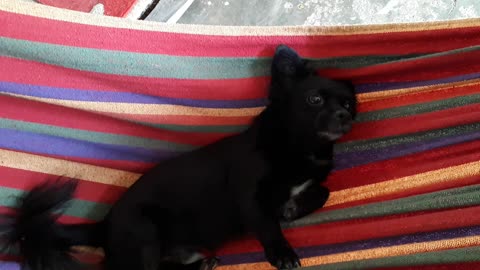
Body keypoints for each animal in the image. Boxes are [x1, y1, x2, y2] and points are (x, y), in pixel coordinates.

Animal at [3, 45, 356, 268]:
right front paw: (282, 253)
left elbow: (323, 191)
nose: (344, 115)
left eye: (349, 103)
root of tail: (104, 225)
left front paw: (294, 207)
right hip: (145, 232)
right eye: (314, 99)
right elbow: (269, 227)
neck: (301, 147)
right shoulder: (251, 197)